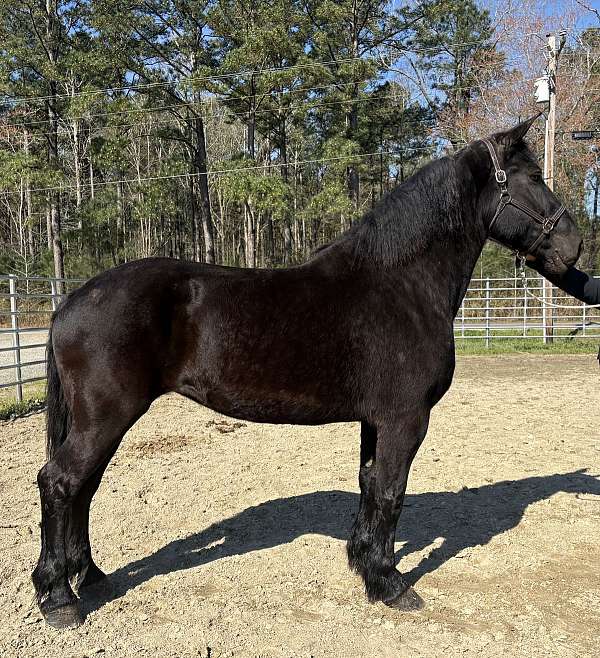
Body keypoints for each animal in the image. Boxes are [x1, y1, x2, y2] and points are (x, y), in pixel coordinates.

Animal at [32, 117, 582, 629]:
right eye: (533, 176)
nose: (573, 246)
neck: (401, 283)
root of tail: (71, 302)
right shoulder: (405, 420)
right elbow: (391, 493)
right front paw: (391, 585)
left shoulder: (375, 421)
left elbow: (369, 486)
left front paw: (364, 565)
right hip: (105, 418)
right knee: (59, 483)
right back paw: (58, 598)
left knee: (82, 489)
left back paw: (90, 577)